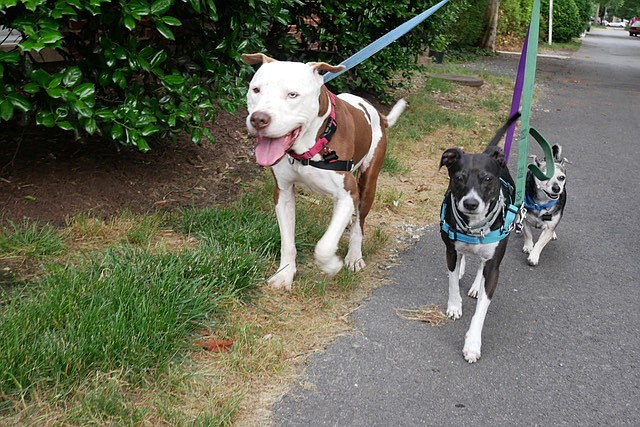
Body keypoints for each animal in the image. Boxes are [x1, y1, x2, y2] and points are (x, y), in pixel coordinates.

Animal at [240, 51, 404, 290]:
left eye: (292, 94)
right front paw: (285, 274)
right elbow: (287, 240)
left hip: (368, 181)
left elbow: (324, 246)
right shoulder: (283, 193)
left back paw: (354, 256)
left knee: (359, 223)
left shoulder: (348, 193)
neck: (307, 148)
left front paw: (332, 265)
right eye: (256, 89)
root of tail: (377, 113)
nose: (259, 119)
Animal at [440, 113, 520, 364]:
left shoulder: (494, 266)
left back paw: (476, 285)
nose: (471, 203)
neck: (474, 228)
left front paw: (473, 344)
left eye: (487, 178)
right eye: (459, 177)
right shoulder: (450, 250)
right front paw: (454, 306)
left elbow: (481, 310)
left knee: (482, 265)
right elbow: (452, 280)